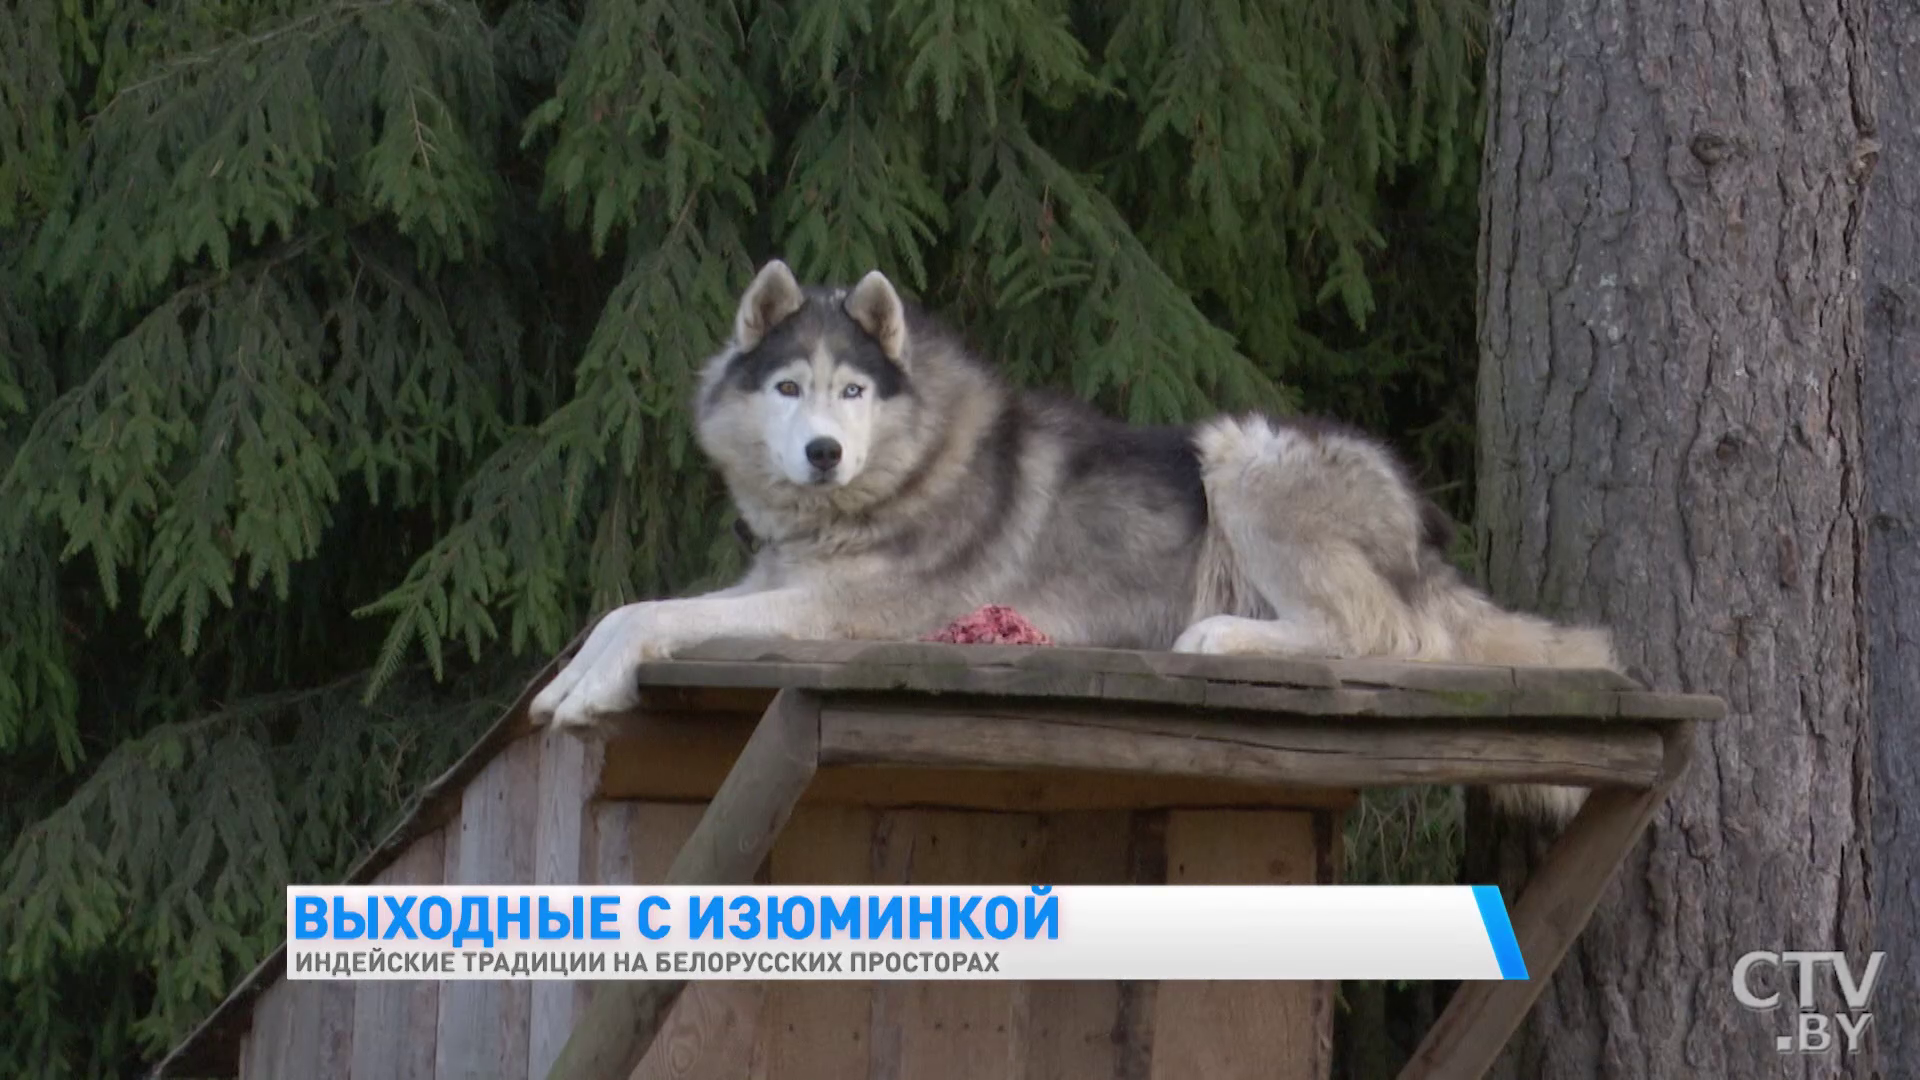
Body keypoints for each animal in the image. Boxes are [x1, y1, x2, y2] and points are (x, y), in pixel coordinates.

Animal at [529, 261, 1620, 814]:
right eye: (790, 386)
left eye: (852, 390)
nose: (825, 452)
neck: (899, 472)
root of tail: (1423, 530)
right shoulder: (771, 583)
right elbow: (628, 607)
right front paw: (572, 674)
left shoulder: (849, 611)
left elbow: (654, 614)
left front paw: (590, 686)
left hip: (1244, 455)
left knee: (1389, 638)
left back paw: (1224, 636)